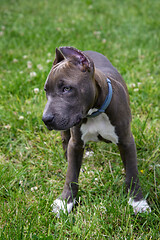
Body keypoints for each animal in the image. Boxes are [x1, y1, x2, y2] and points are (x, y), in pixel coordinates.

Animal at [42, 46, 151, 216]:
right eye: (46, 91)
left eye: (66, 89)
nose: (45, 118)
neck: (94, 112)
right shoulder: (76, 143)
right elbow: (71, 175)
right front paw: (65, 202)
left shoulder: (126, 141)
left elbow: (132, 173)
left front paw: (137, 202)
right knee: (65, 142)